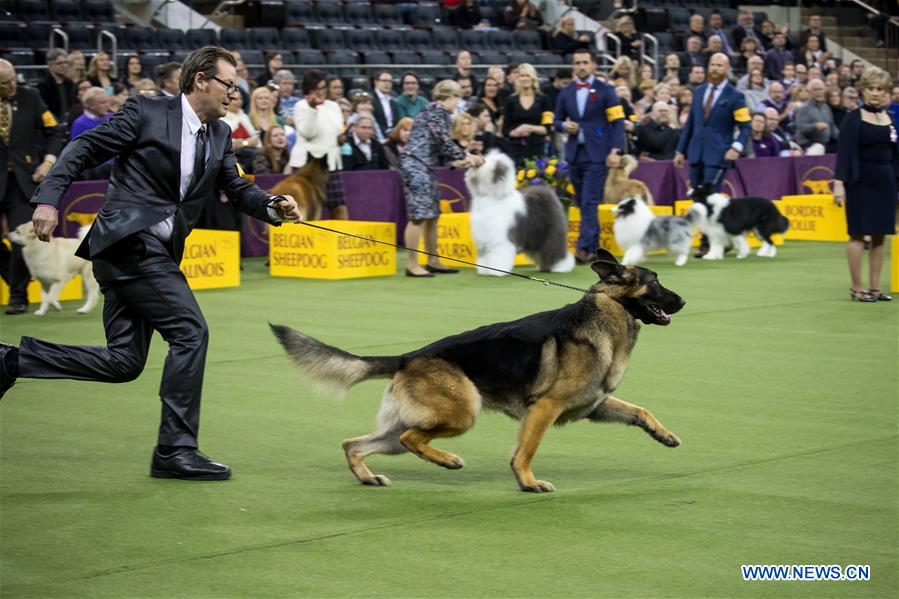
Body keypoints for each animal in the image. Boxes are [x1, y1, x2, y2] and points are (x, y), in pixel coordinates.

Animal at [270, 251, 684, 494]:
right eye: (656, 281)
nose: (683, 301)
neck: (607, 312)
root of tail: (408, 356)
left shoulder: (595, 404)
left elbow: (640, 411)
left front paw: (664, 435)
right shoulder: (544, 409)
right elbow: (525, 451)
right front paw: (528, 482)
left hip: (401, 427)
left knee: (356, 444)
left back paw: (368, 476)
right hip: (462, 412)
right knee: (410, 438)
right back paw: (447, 460)